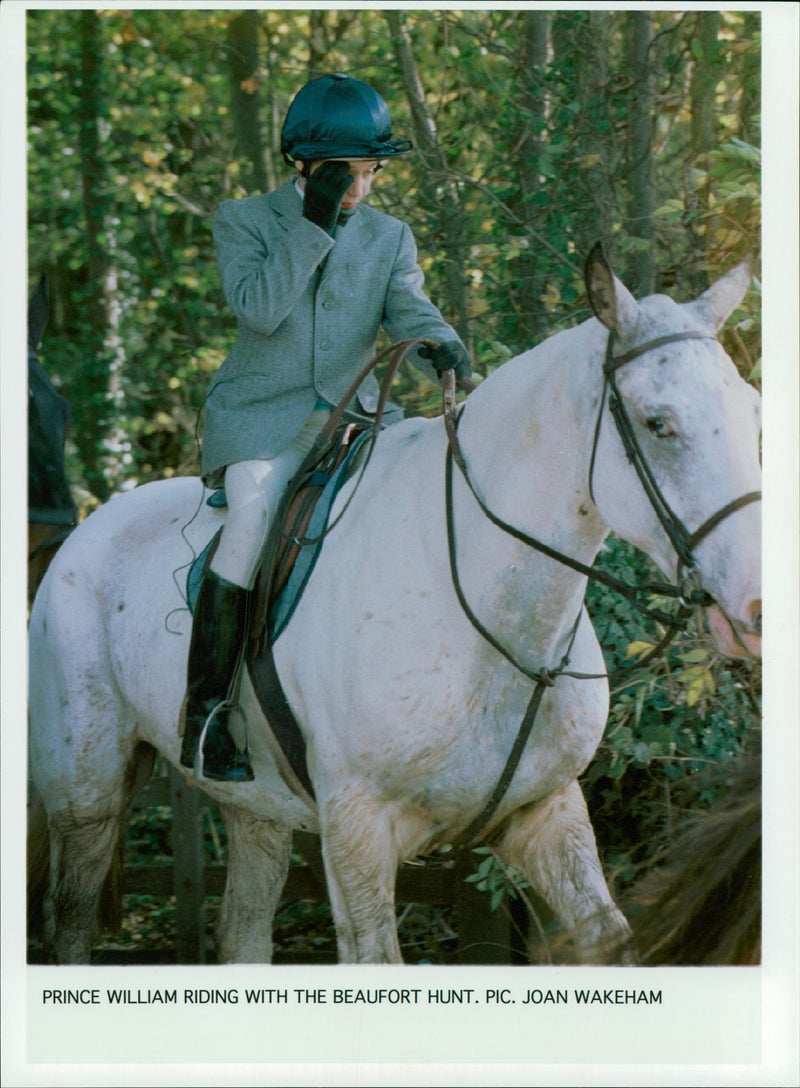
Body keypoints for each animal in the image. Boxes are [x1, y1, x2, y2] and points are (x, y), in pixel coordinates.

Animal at [28, 246, 761, 961]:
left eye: (751, 410)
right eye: (657, 423)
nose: (754, 609)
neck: (487, 618)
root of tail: (84, 531)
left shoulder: (548, 814)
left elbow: (611, 941)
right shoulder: (357, 833)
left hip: (255, 808)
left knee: (243, 931)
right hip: (86, 796)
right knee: (72, 925)